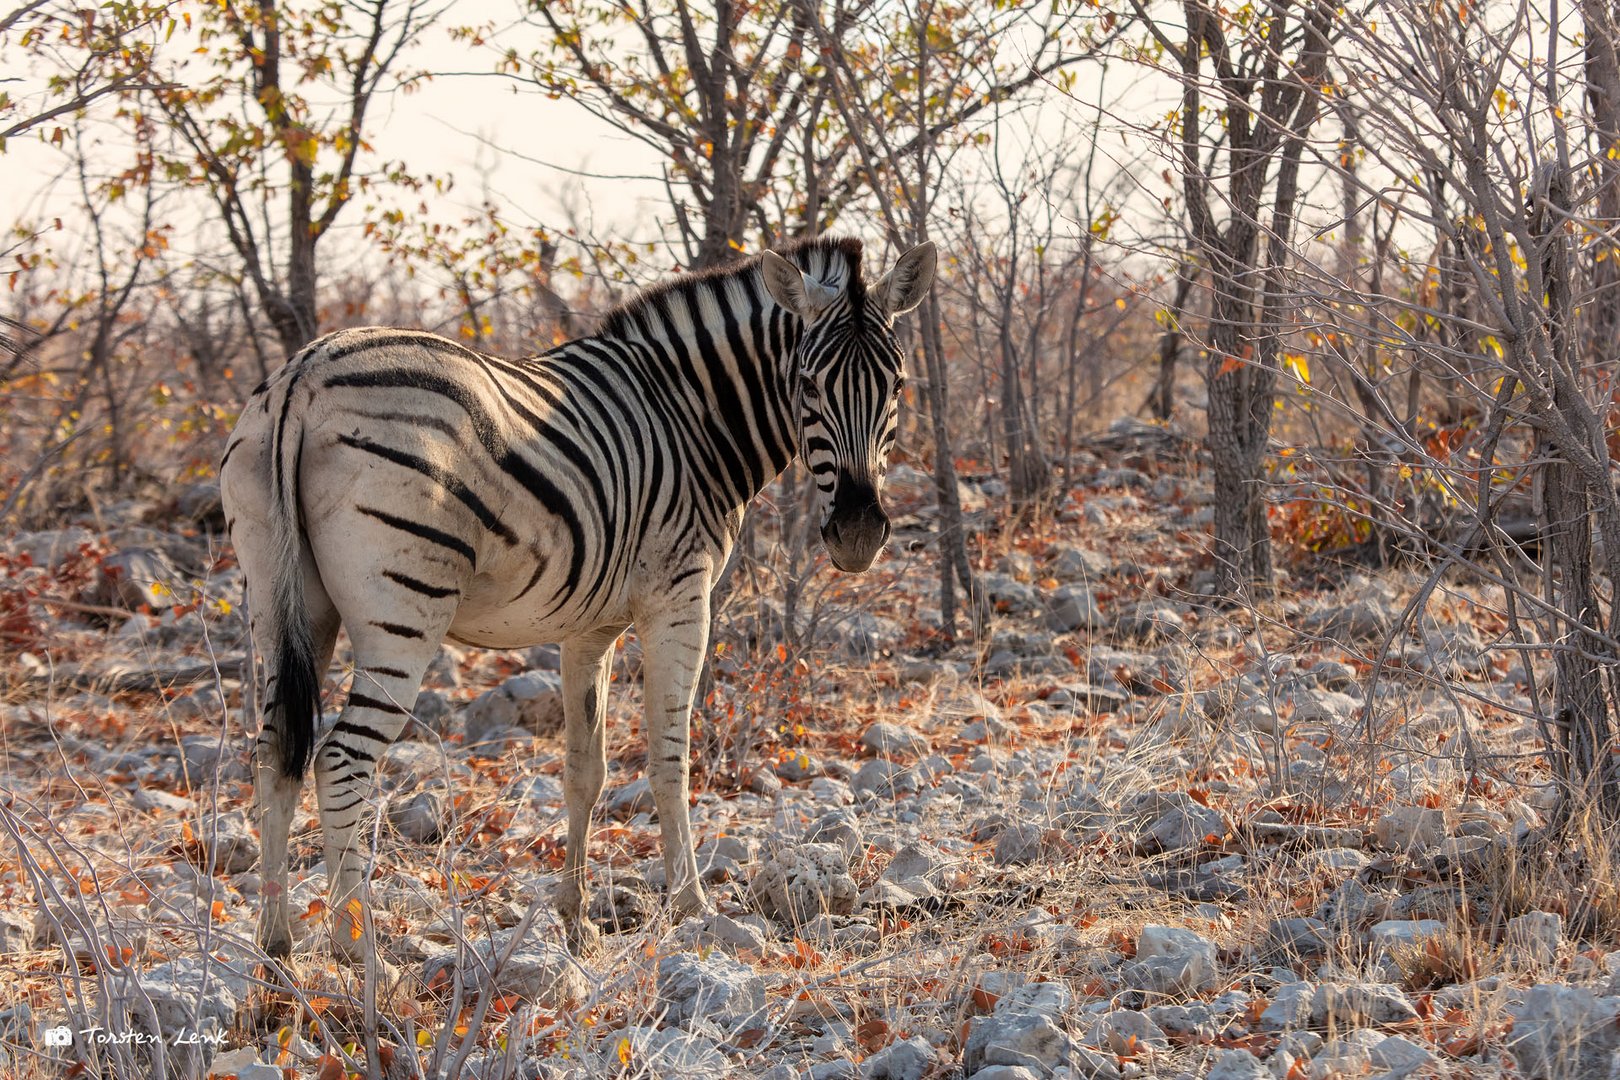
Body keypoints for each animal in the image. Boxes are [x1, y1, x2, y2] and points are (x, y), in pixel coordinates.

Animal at [226, 233, 939, 958]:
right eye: (807, 384)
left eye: (897, 385)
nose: (857, 533)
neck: (689, 416)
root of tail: (303, 377)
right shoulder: (680, 601)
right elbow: (669, 760)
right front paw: (692, 908)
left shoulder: (586, 627)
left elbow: (583, 771)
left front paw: (574, 918)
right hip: (402, 611)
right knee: (342, 759)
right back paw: (358, 952)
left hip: (284, 602)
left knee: (275, 751)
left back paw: (275, 946)